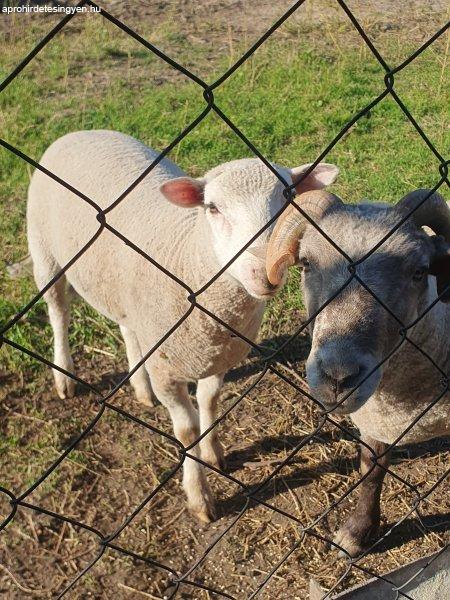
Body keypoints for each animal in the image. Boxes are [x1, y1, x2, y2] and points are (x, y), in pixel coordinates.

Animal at [25, 130, 338, 520]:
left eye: (289, 197)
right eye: (213, 208)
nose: (266, 269)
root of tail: (80, 132)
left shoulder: (217, 354)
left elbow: (210, 400)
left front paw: (214, 452)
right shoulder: (168, 370)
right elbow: (187, 430)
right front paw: (199, 495)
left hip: (126, 294)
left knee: (126, 327)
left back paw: (140, 387)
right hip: (44, 251)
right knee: (58, 312)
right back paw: (64, 375)